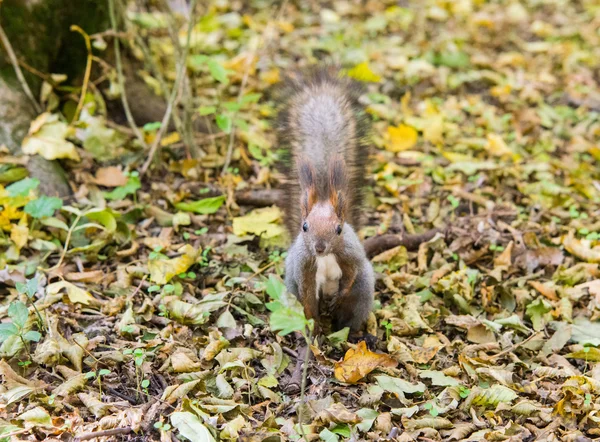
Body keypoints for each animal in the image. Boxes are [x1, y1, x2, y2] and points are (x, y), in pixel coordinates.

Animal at [278, 66, 372, 334]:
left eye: (339, 229)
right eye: (304, 227)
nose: (320, 247)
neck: (324, 258)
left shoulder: (350, 255)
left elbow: (350, 276)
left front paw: (338, 298)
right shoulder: (304, 268)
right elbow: (309, 296)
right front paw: (315, 323)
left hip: (364, 291)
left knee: (352, 312)